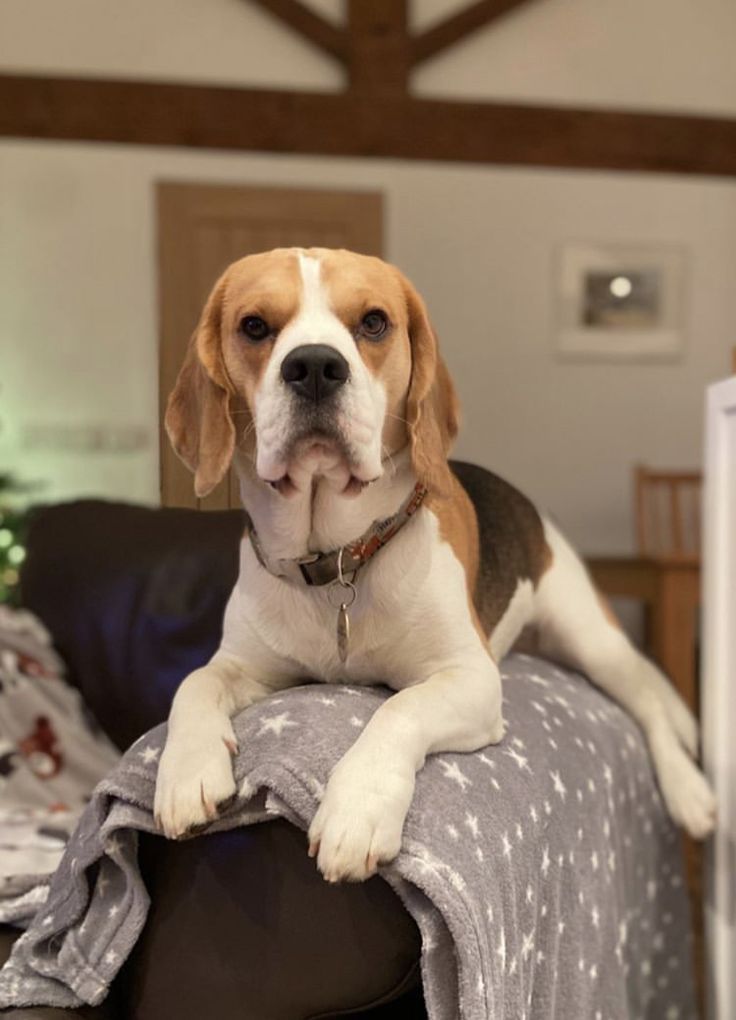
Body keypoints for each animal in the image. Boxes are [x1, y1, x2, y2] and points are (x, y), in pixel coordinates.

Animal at [154, 247, 716, 883]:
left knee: (650, 709)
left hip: (592, 641)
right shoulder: (244, 665)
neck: (342, 559)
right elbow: (193, 684)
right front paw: (186, 770)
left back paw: (688, 791)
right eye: (253, 326)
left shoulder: (470, 678)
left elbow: (399, 708)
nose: (315, 366)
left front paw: (357, 809)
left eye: (374, 322)